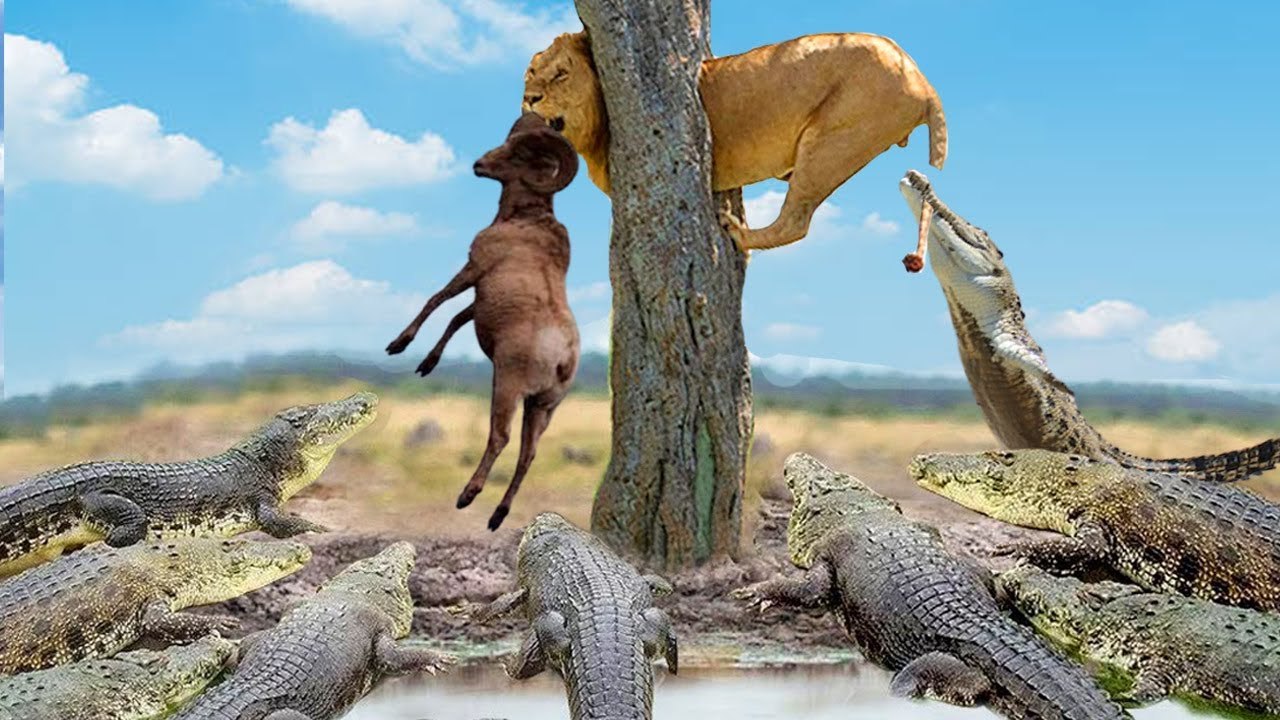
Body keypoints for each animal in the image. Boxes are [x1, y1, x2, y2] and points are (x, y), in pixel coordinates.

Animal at [523, 31, 947, 252]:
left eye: (561, 74)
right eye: (530, 71)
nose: (528, 98)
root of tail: (923, 81)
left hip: (829, 140)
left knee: (796, 222)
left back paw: (738, 233)